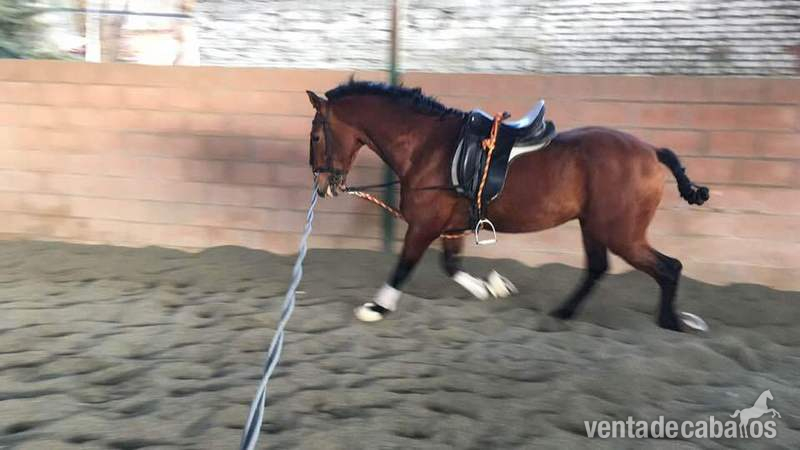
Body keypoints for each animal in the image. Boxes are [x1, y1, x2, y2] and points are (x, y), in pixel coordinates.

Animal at [306, 80, 709, 332]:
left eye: (315, 136)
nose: (322, 186)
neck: (427, 147)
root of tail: (651, 152)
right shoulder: (449, 227)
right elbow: (450, 265)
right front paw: (492, 289)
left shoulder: (423, 226)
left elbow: (403, 268)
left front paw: (376, 308)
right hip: (594, 227)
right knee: (598, 269)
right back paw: (563, 313)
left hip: (620, 233)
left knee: (668, 268)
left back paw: (671, 322)